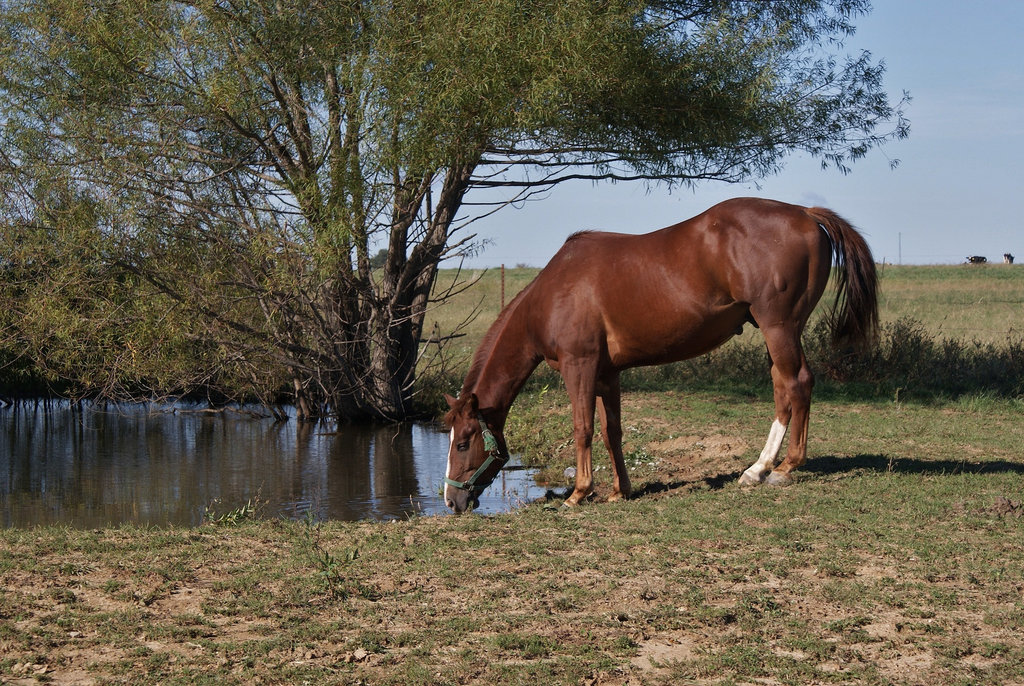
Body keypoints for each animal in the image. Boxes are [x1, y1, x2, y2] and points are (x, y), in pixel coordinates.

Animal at [444, 196, 876, 513]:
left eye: (463, 442)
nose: (451, 500)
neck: (552, 294)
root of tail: (805, 213)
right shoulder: (607, 374)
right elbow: (611, 431)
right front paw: (620, 490)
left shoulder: (578, 366)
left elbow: (582, 428)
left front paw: (579, 493)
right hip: (780, 333)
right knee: (783, 388)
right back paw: (761, 469)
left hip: (779, 327)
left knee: (797, 383)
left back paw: (780, 469)